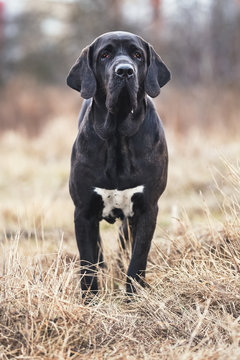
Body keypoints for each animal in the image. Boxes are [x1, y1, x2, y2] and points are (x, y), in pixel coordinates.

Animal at [66, 31, 170, 296]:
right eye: (104, 55)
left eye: (137, 55)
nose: (124, 71)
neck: (118, 136)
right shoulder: (83, 211)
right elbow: (87, 262)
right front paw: (90, 299)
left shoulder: (147, 209)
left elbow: (138, 258)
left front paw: (133, 296)